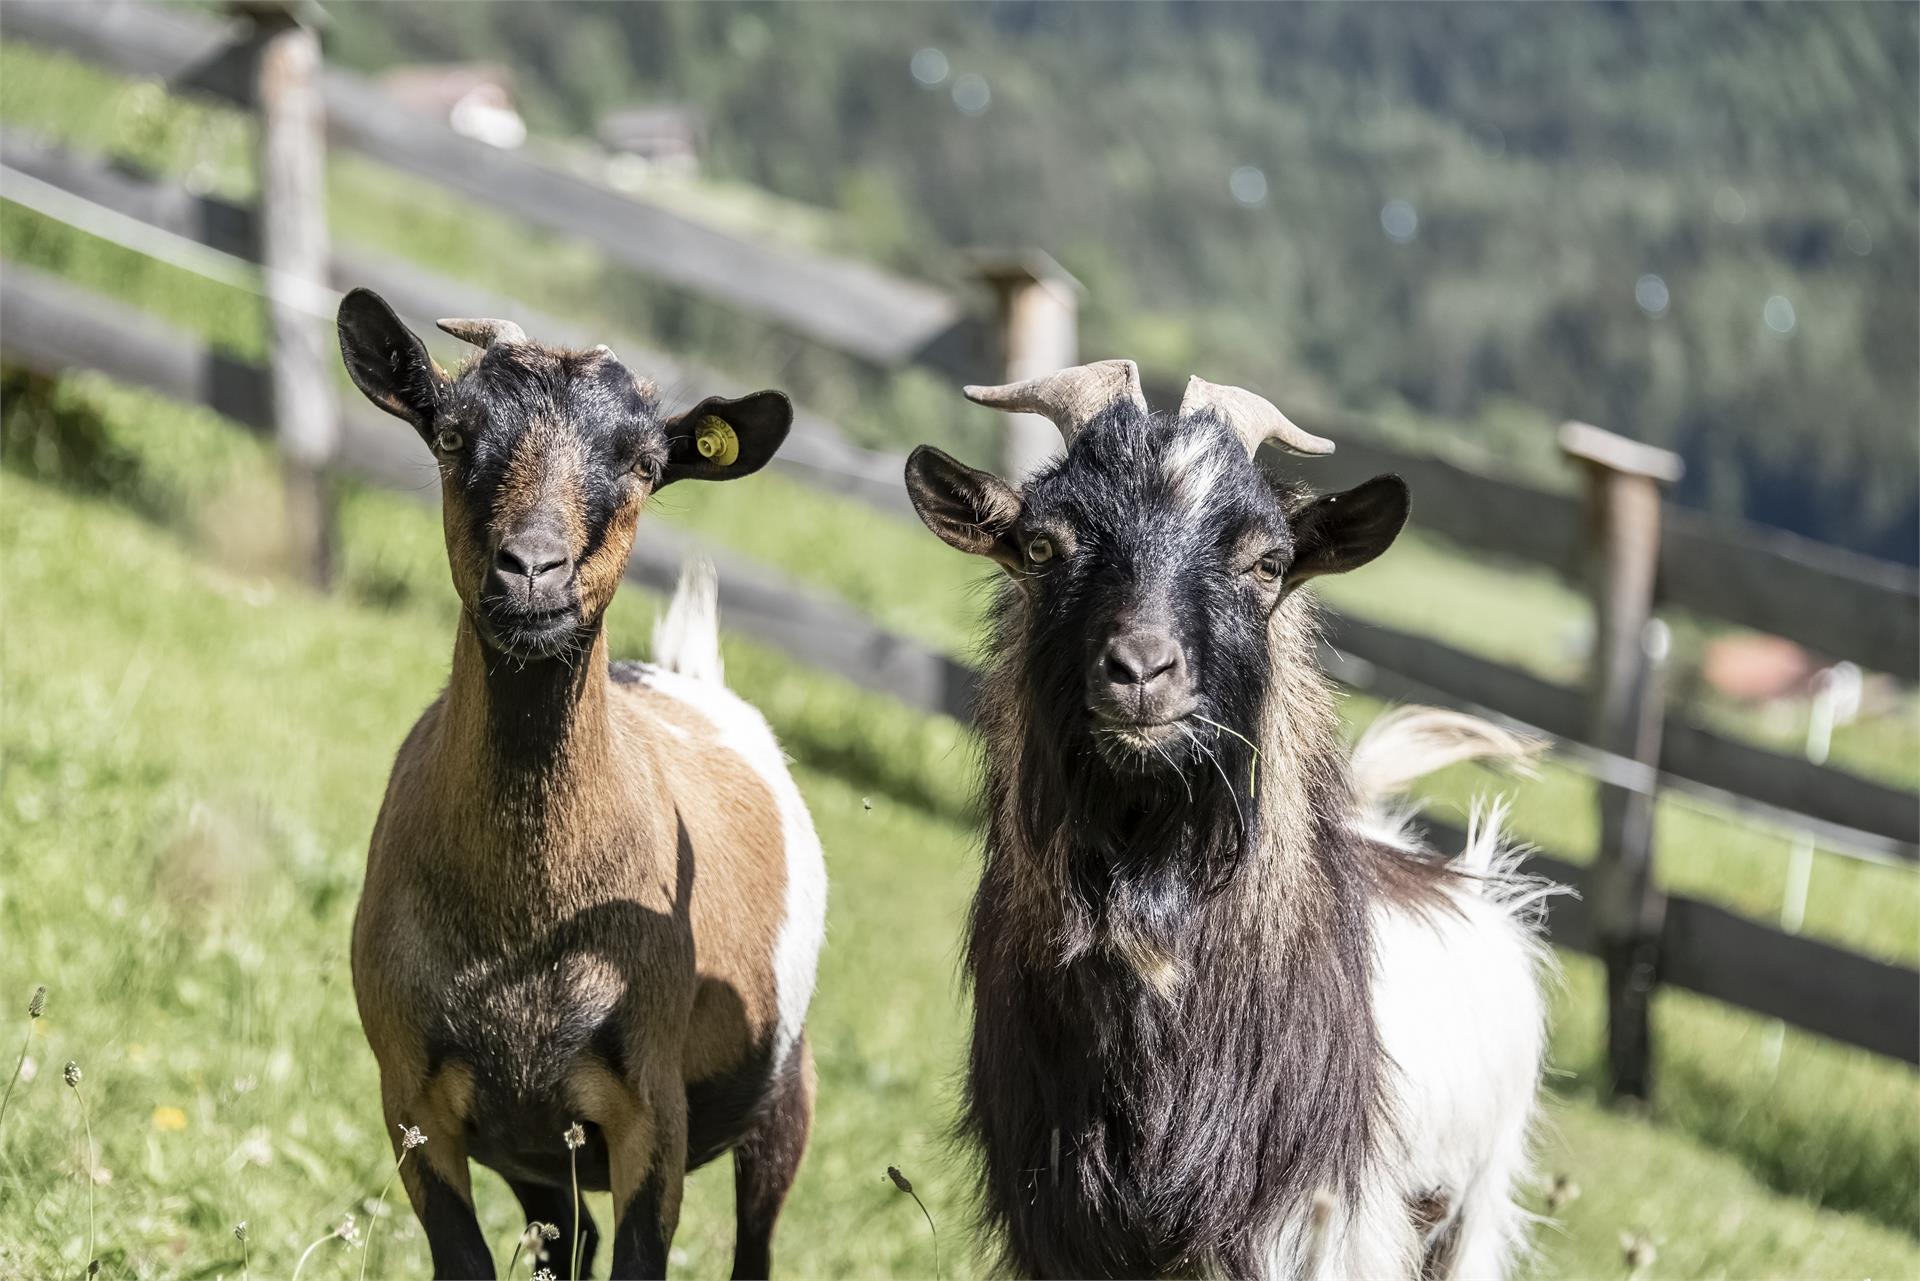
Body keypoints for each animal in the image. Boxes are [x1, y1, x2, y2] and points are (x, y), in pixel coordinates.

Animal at [339, 290, 833, 1281]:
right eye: (451, 434)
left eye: (645, 464)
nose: (533, 568)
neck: (523, 935)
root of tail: (685, 671)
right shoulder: (413, 1098)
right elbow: (470, 1261)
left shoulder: (652, 1110)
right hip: (535, 1149)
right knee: (567, 1238)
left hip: (781, 1089)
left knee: (753, 1241)